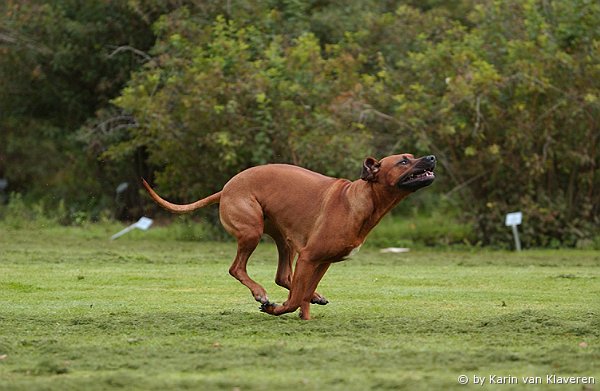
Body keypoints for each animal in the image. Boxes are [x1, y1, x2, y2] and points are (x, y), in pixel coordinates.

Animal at [144, 155, 438, 320]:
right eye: (403, 161)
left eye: (412, 156)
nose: (432, 157)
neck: (360, 200)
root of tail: (226, 188)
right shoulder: (309, 257)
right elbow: (296, 298)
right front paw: (276, 309)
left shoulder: (322, 261)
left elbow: (303, 294)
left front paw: (305, 316)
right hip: (252, 231)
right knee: (237, 268)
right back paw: (261, 294)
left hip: (285, 239)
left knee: (284, 277)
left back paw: (312, 295)